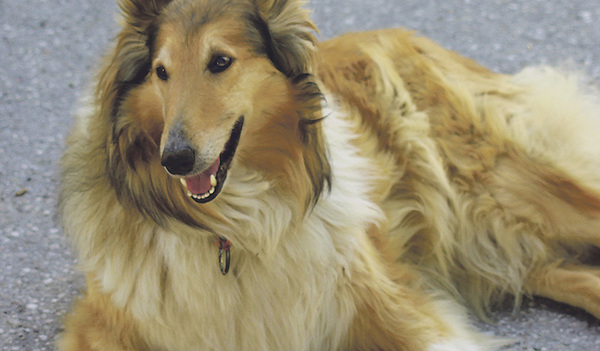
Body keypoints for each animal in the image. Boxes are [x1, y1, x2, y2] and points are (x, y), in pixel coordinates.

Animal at [59, 0, 600, 351]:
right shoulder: (103, 329)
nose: (175, 159)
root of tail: (395, 33)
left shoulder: (396, 312)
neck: (233, 231)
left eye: (220, 62)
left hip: (506, 185)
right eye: (161, 72)